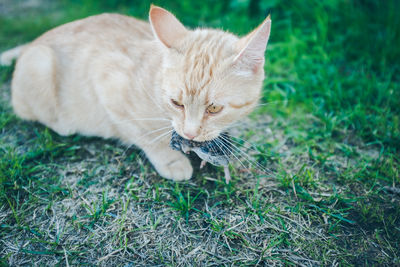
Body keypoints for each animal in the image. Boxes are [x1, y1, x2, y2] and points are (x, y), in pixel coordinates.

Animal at [1, 5, 270, 182]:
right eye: (176, 103)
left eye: (214, 108)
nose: (190, 133)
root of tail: (33, 43)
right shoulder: (107, 82)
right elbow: (144, 134)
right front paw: (171, 159)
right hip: (40, 63)